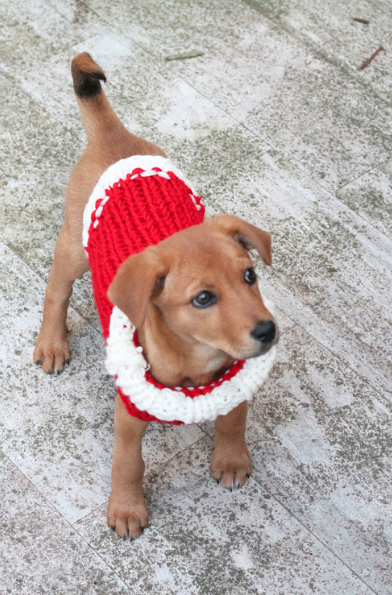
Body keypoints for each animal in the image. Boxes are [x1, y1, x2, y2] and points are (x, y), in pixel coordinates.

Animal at [34, 53, 278, 544]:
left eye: (250, 276)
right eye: (203, 299)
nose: (268, 331)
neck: (197, 362)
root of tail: (115, 137)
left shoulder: (235, 377)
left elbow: (234, 417)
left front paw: (231, 459)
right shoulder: (128, 417)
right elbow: (127, 465)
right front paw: (127, 509)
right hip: (73, 250)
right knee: (56, 290)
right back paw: (52, 342)